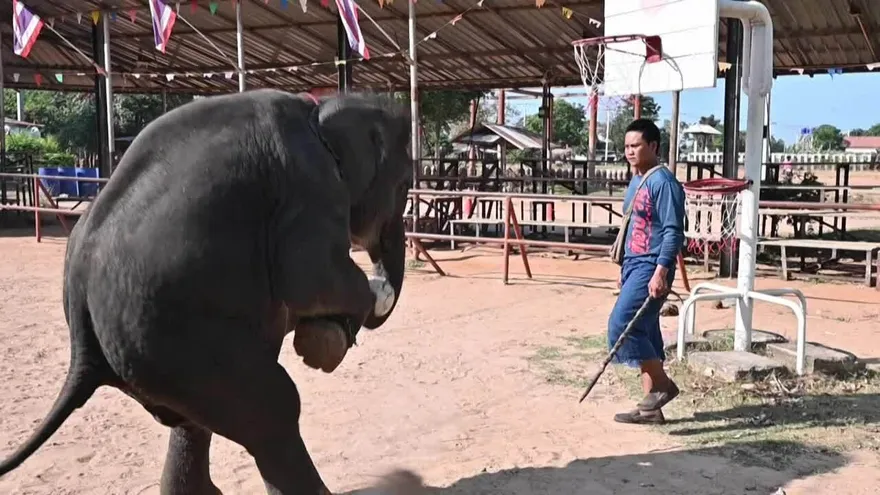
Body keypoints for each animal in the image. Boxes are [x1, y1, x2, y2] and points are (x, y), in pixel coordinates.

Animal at [0, 89, 417, 494]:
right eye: (403, 186)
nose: (381, 275)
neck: (320, 109)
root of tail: (81, 351)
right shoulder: (309, 184)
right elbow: (311, 276)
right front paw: (356, 311)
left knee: (199, 418)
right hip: (173, 346)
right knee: (275, 408)